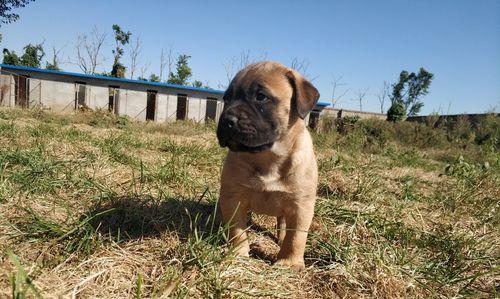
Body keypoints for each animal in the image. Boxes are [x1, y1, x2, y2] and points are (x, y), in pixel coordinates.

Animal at [216, 61, 318, 270]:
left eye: (261, 97)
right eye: (227, 99)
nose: (226, 120)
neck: (268, 157)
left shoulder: (301, 206)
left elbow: (296, 238)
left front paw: (289, 263)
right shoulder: (233, 197)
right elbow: (237, 230)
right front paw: (237, 253)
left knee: (283, 224)